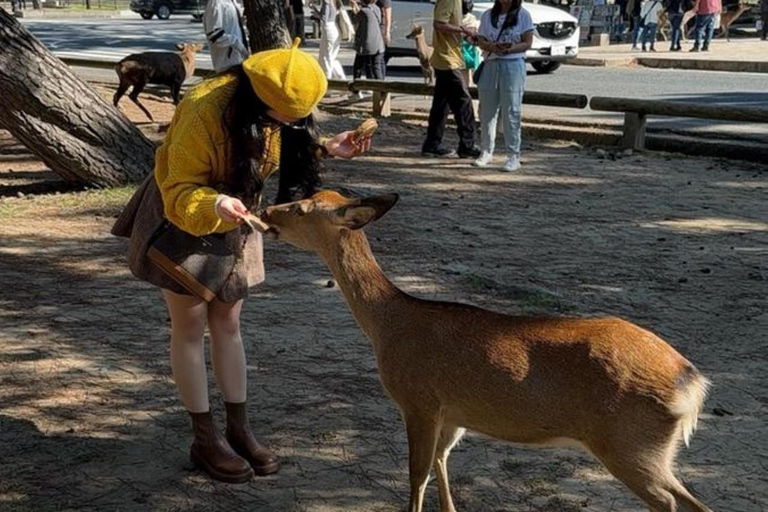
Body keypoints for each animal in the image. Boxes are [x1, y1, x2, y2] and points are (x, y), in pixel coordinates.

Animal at [260, 190, 712, 512]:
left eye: (300, 207)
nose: (265, 211)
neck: (389, 324)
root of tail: (692, 382)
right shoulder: (453, 414)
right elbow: (441, 464)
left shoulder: (418, 400)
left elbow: (416, 475)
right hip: (652, 449)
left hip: (631, 445)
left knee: (673, 503)